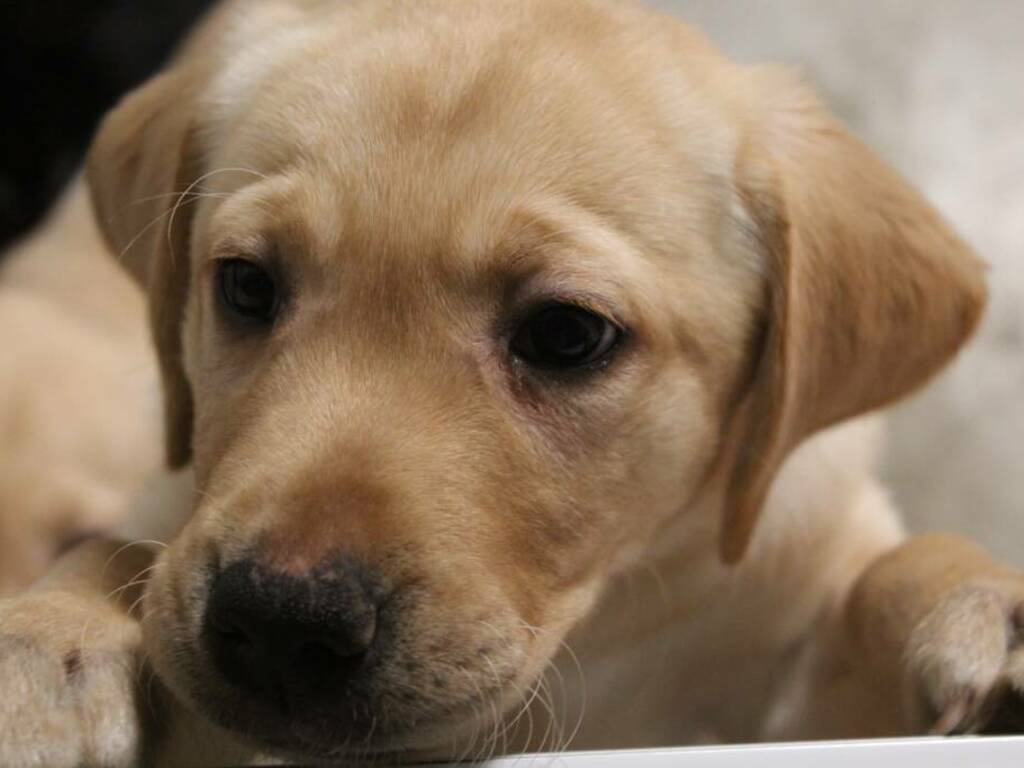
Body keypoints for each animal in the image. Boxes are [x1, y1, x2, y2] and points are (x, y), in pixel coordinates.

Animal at [2, 0, 1024, 765]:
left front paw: (987, 606)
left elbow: (893, 566)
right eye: (247, 286)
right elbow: (121, 549)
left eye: (567, 335)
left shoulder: (797, 672)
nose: (283, 624)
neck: (592, 628)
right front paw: (51, 642)